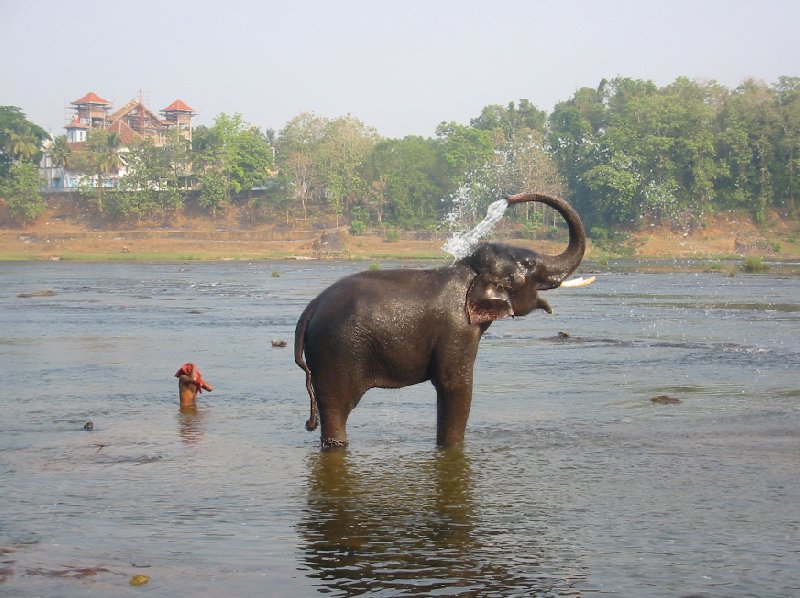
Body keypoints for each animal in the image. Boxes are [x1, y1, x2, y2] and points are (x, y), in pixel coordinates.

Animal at [294, 190, 588, 448]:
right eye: (529, 265)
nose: (509, 198)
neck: (469, 272)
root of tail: (311, 309)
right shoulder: (458, 330)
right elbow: (455, 385)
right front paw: (451, 448)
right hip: (337, 350)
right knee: (337, 407)